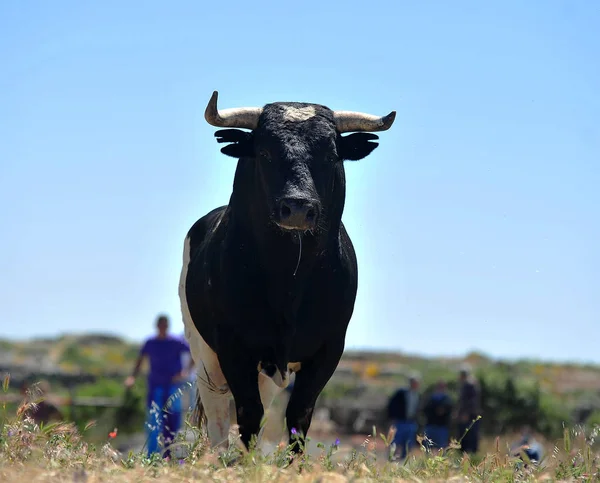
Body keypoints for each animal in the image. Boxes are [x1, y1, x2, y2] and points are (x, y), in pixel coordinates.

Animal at [178, 91, 396, 454]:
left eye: (331, 155)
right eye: (265, 152)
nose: (297, 207)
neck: (289, 278)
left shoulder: (329, 349)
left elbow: (299, 415)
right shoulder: (233, 346)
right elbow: (248, 413)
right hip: (203, 350)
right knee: (219, 413)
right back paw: (219, 456)